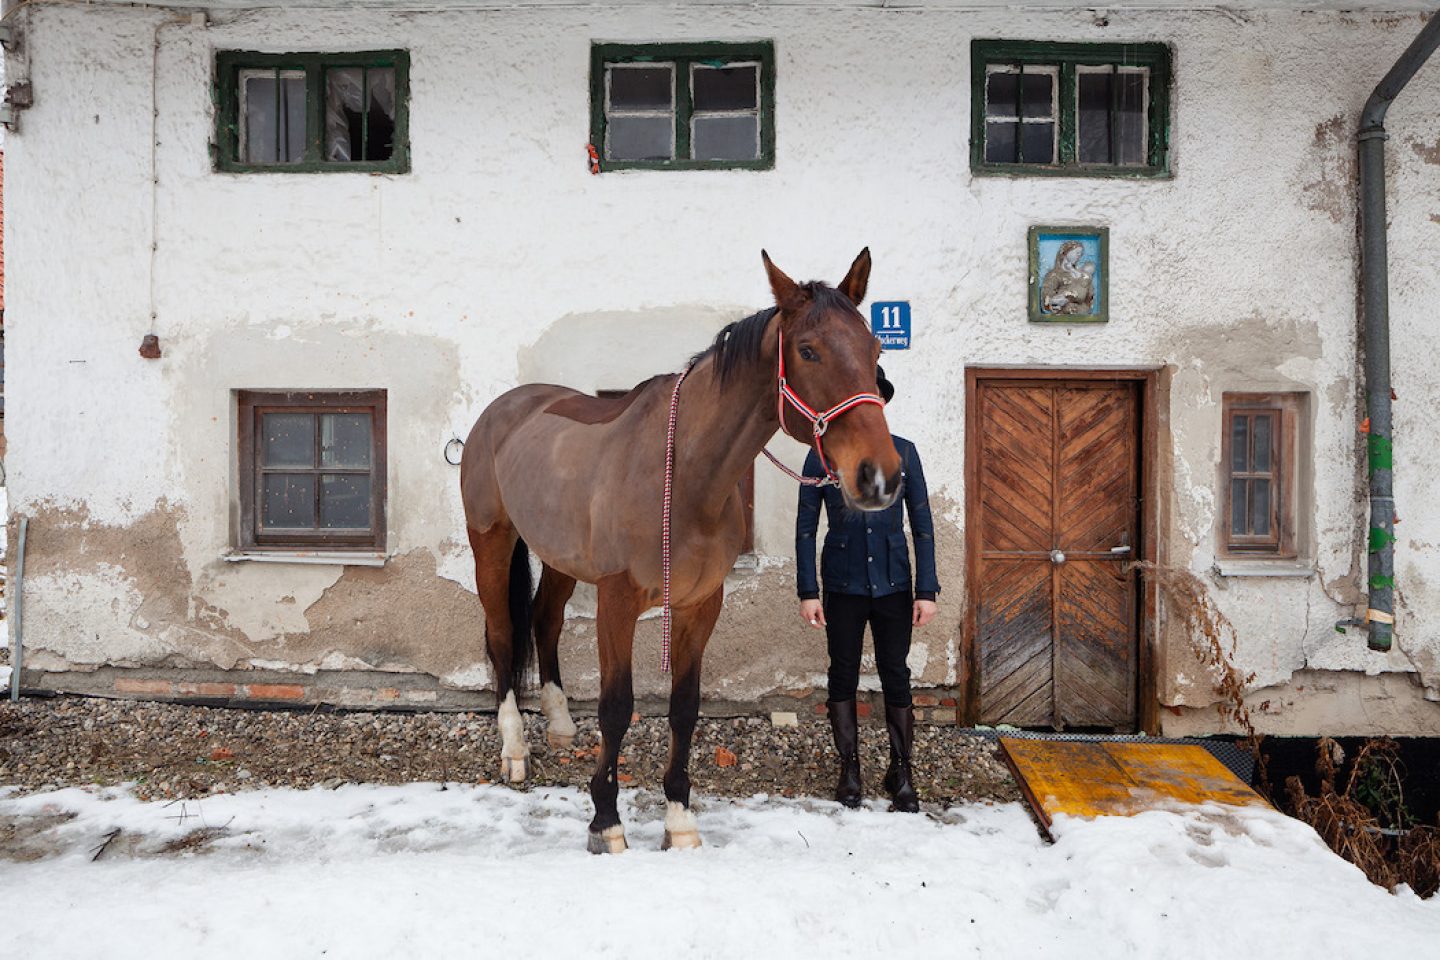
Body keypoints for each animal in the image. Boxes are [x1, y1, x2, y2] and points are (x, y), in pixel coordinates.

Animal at [460, 251, 898, 852]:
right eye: (808, 350)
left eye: (875, 348)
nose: (880, 478)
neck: (685, 477)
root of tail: (499, 413)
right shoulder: (617, 602)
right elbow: (617, 707)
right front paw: (606, 822)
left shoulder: (700, 605)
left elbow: (685, 709)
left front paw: (680, 821)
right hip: (492, 541)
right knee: (503, 633)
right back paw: (515, 749)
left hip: (559, 556)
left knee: (545, 619)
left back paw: (561, 725)